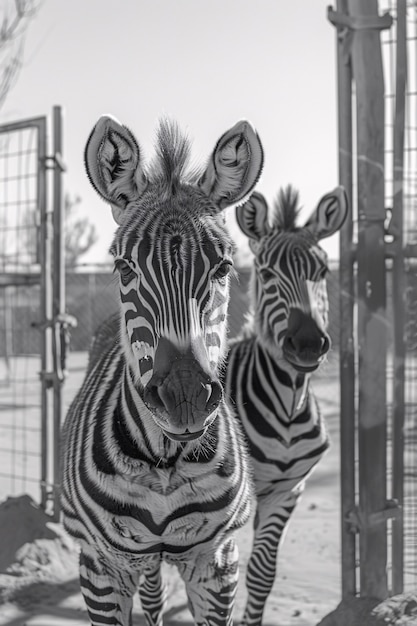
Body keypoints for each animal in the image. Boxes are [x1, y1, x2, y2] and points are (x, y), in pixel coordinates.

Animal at [61, 113, 264, 624]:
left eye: (223, 268)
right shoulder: (101, 567)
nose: (185, 398)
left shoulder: (217, 563)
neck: (165, 462)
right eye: (124, 268)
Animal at [224, 185, 348, 624]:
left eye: (323, 272)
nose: (308, 343)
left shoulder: (289, 488)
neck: (289, 405)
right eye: (266, 275)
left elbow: (262, 572)